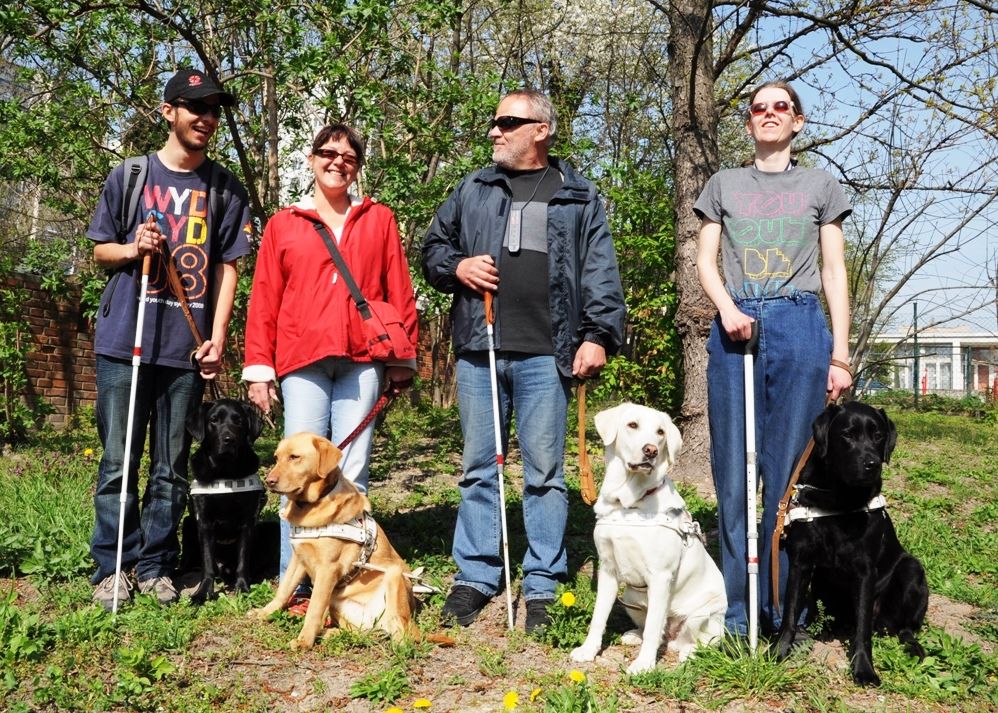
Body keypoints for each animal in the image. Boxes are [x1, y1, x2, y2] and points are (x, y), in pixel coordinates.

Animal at [181, 398, 266, 604]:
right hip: (188, 524)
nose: (229, 440)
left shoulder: (247, 523)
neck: (224, 472)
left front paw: (242, 587)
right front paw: (203, 593)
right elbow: (207, 562)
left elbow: (243, 560)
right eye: (213, 420)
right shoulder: (204, 522)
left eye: (239, 421)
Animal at [776, 400, 932, 684]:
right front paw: (778, 652)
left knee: (903, 629)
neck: (840, 502)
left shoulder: (865, 571)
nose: (872, 464)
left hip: (911, 569)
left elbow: (862, 630)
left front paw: (864, 669)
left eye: (878, 435)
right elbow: (790, 615)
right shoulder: (800, 562)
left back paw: (913, 647)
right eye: (847, 434)